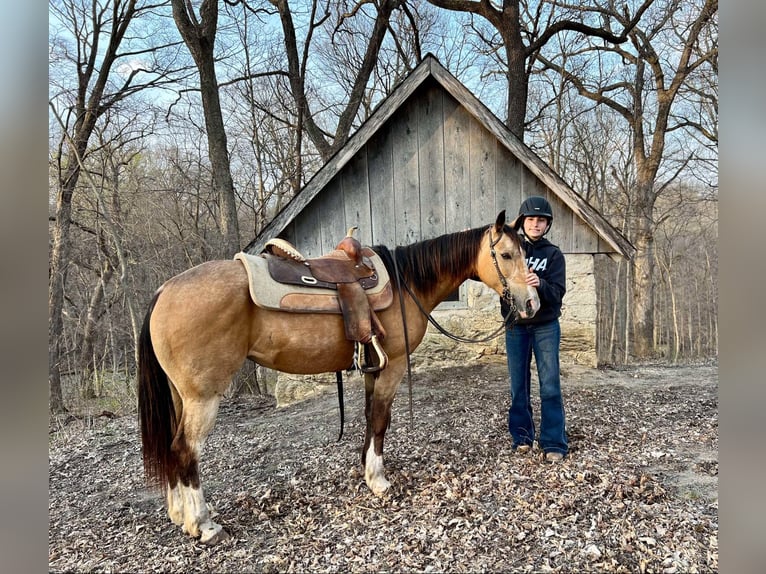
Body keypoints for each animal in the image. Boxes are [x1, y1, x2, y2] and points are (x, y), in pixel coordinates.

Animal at [137, 210, 540, 544]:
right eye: (507, 255)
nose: (532, 303)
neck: (406, 282)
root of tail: (163, 291)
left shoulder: (374, 368)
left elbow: (369, 418)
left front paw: (366, 468)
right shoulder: (393, 365)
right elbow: (380, 419)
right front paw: (378, 480)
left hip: (180, 396)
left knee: (172, 447)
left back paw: (180, 514)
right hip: (203, 397)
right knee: (185, 450)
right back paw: (203, 524)